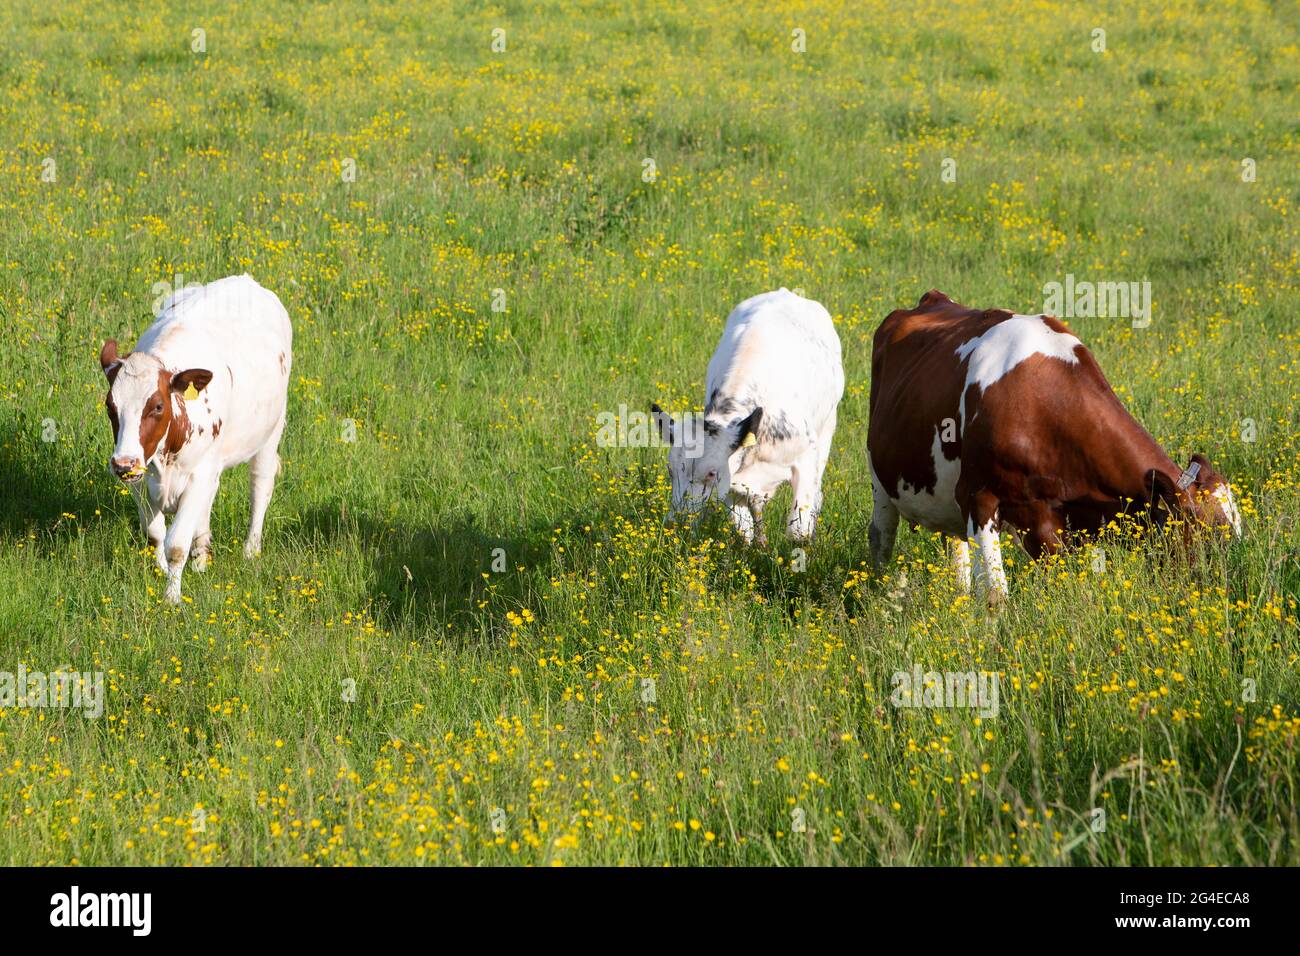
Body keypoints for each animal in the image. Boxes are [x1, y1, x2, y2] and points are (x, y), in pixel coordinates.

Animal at [99, 274, 293, 604]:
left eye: (158, 406)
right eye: (110, 406)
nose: (123, 463)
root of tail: (246, 280)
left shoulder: (199, 473)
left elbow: (176, 543)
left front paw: (171, 598)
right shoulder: (141, 480)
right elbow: (155, 534)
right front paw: (164, 572)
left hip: (271, 429)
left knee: (261, 484)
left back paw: (250, 550)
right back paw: (202, 555)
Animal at [651, 288, 844, 545]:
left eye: (711, 473)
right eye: (670, 470)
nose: (677, 524)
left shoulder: (805, 458)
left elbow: (798, 531)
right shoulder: (734, 481)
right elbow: (744, 530)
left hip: (828, 426)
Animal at [868, 290, 1241, 606]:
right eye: (1212, 537)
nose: (1230, 589)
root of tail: (930, 300)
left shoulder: (1069, 519)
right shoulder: (977, 496)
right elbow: (996, 597)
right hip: (880, 481)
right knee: (881, 539)